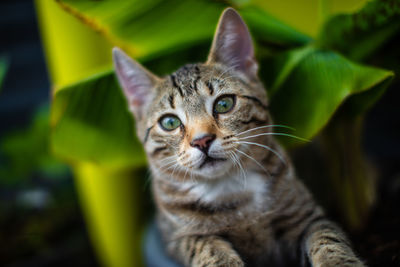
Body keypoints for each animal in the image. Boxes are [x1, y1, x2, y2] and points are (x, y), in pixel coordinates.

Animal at [113, 7, 366, 267]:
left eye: (224, 104)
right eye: (170, 122)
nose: (202, 140)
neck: (229, 190)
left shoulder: (307, 215)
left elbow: (328, 239)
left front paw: (339, 261)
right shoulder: (179, 237)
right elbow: (208, 248)